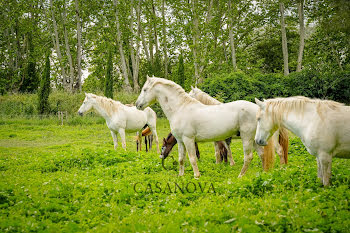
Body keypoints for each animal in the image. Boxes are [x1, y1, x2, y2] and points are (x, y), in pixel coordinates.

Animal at [135, 77, 274, 178]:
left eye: (145, 89)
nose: (137, 105)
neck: (180, 108)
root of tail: (258, 109)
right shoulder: (180, 141)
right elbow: (181, 159)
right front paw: (181, 175)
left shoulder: (189, 139)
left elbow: (192, 158)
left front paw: (197, 176)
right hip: (253, 139)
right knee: (262, 154)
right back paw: (263, 173)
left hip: (246, 138)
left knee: (248, 157)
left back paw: (240, 176)